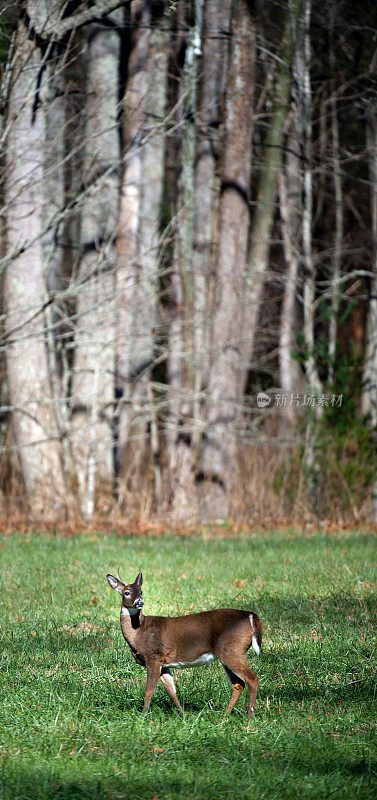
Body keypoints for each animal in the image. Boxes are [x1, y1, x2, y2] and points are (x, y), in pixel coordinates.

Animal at [106, 564, 262, 716]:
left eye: (141, 591)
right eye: (126, 592)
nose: (139, 602)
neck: (139, 632)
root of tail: (250, 616)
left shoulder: (154, 657)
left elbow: (149, 690)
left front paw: (143, 716)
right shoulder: (164, 664)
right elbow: (171, 691)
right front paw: (183, 715)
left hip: (233, 650)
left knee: (252, 679)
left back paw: (249, 717)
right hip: (228, 653)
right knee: (238, 684)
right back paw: (224, 716)